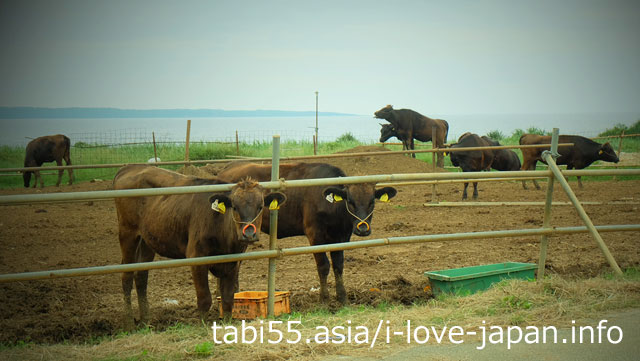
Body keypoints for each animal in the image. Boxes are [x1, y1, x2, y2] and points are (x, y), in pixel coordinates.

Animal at [114, 165, 286, 328]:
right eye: (235, 207)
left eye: (260, 206)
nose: (249, 234)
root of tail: (130, 167)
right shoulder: (196, 258)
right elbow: (204, 298)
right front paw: (202, 325)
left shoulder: (233, 262)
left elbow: (228, 297)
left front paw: (227, 323)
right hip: (127, 232)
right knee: (126, 277)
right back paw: (129, 324)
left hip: (147, 241)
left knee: (141, 277)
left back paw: (145, 321)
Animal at [218, 163, 396, 304]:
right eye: (350, 201)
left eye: (372, 201)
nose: (363, 229)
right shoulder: (315, 236)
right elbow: (323, 266)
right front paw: (324, 299)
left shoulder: (341, 237)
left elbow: (338, 266)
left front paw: (342, 297)